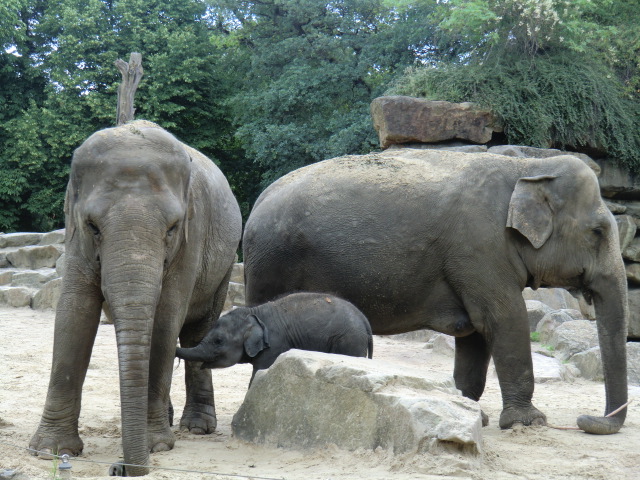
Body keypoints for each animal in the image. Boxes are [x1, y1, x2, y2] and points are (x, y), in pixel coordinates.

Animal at [29, 120, 242, 476]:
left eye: (172, 228)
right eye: (93, 226)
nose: (122, 467)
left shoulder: (192, 236)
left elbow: (166, 316)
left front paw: (156, 445)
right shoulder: (74, 235)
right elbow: (74, 312)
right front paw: (50, 450)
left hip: (224, 266)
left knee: (197, 330)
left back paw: (196, 427)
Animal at [176, 292, 373, 384]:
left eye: (218, 341)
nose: (175, 351)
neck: (253, 312)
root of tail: (364, 319)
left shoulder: (274, 346)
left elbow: (259, 374)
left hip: (349, 340)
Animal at [242, 148, 628, 435]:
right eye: (597, 232)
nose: (586, 419)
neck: (528, 167)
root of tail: (257, 202)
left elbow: (476, 334)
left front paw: (473, 414)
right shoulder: (479, 249)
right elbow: (505, 318)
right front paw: (527, 424)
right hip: (271, 266)